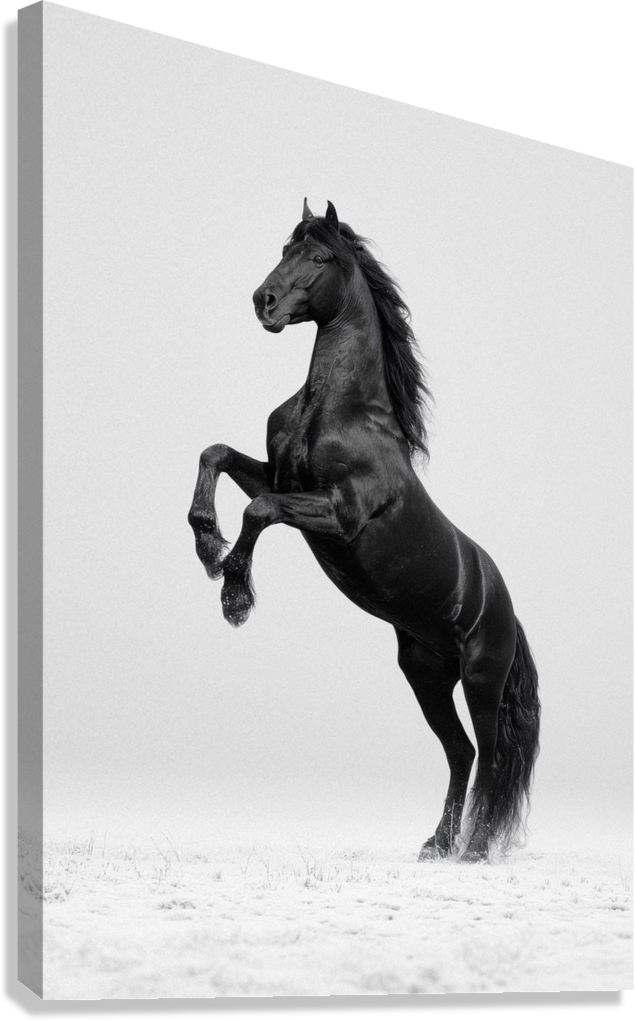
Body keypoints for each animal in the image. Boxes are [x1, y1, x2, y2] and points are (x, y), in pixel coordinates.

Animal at [188, 199, 540, 861]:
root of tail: (504, 604)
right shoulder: (277, 475)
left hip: (481, 679)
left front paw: (235, 595)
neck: (337, 410)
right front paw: (205, 542)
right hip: (426, 675)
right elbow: (216, 455)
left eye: (319, 256)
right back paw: (436, 845)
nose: (263, 301)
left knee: (490, 756)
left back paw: (474, 849)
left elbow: (259, 512)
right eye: (284, 248)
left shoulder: (339, 512)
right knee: (460, 752)